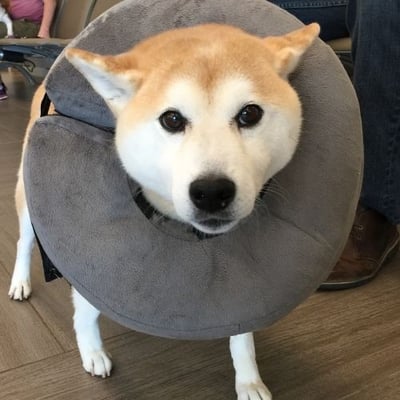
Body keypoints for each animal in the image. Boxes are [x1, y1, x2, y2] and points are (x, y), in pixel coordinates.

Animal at [8, 22, 318, 400]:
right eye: (172, 119)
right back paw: (20, 282)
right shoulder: (91, 258)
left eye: (250, 114)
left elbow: (242, 331)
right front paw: (92, 351)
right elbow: (86, 310)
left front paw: (249, 380)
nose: (211, 192)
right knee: (24, 242)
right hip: (29, 201)